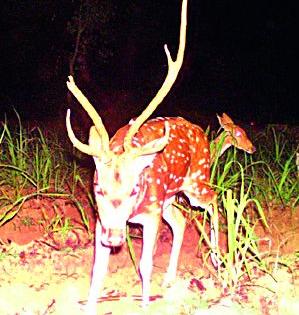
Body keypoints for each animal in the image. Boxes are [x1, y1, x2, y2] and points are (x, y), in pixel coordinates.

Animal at [65, 1, 255, 314]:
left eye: (134, 190)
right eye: (98, 189)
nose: (115, 238)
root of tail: (199, 132)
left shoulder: (151, 214)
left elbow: (144, 264)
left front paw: (145, 304)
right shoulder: (101, 219)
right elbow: (97, 269)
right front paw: (90, 305)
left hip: (196, 181)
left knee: (214, 200)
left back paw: (217, 259)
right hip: (169, 198)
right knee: (180, 221)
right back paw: (169, 278)